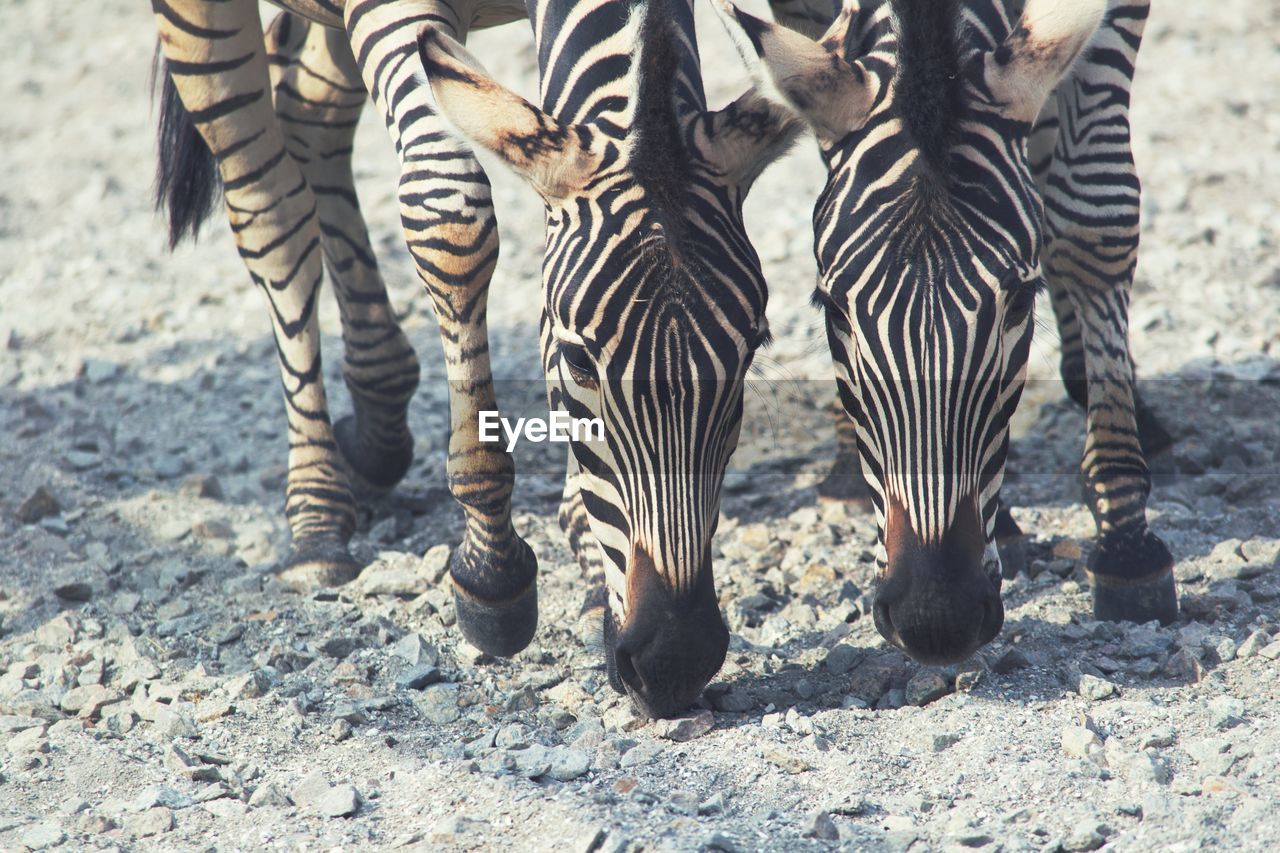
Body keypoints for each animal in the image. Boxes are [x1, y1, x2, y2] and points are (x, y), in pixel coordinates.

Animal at [149, 0, 788, 717]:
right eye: (579, 363)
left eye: (753, 349)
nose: (675, 662)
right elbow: (450, 215)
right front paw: (492, 571)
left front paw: (585, 552)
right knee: (270, 212)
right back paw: (316, 519)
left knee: (312, 116)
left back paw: (376, 425)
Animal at [716, 0, 1172, 666]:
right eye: (833, 312)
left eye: (1020, 304)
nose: (935, 621)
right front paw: (1004, 523)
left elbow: (1094, 217)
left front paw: (1126, 538)